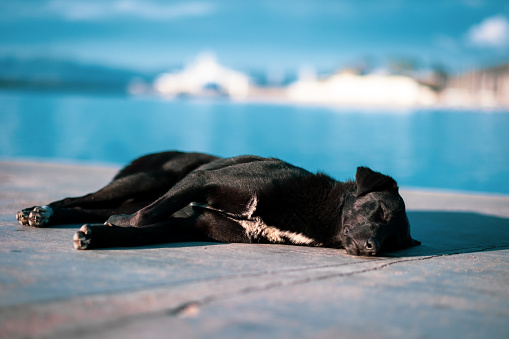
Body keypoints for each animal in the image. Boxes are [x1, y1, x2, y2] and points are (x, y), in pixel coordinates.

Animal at [17, 151, 418, 255]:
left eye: (392, 243)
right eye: (380, 210)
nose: (373, 247)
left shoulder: (190, 225)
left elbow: (143, 230)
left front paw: (101, 235)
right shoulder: (202, 181)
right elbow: (144, 218)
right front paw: (119, 224)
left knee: (89, 208)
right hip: (150, 179)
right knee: (80, 198)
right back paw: (41, 211)